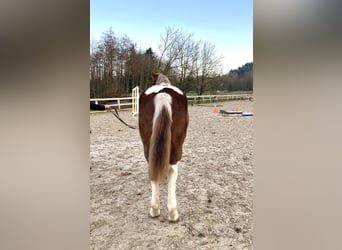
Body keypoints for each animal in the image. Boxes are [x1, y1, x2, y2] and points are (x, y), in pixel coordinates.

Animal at [138, 72, 188, 223]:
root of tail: (163, 93)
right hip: (177, 146)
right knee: (172, 170)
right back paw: (172, 212)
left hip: (148, 144)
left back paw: (154, 209)